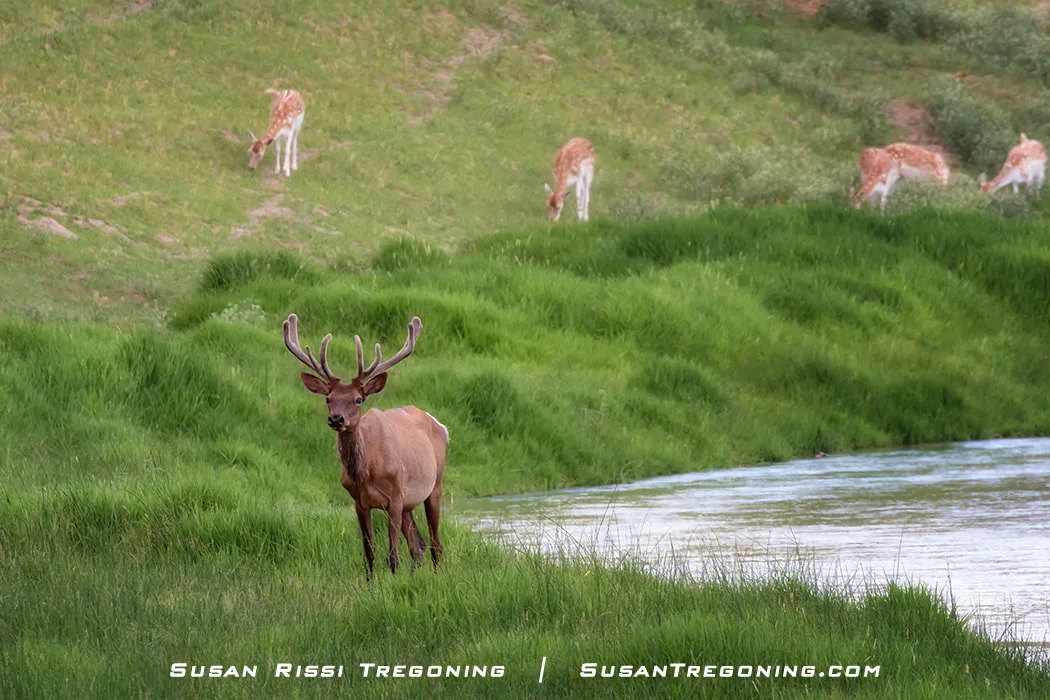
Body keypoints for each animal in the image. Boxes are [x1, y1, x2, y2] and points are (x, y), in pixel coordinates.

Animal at [283, 313, 448, 577]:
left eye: (358, 399)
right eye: (328, 398)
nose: (336, 419)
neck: (368, 471)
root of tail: (441, 426)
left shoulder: (395, 496)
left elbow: (392, 556)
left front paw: (393, 581)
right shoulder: (359, 502)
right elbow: (369, 555)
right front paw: (371, 583)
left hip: (435, 485)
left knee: (435, 543)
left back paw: (437, 574)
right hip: (409, 504)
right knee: (418, 545)